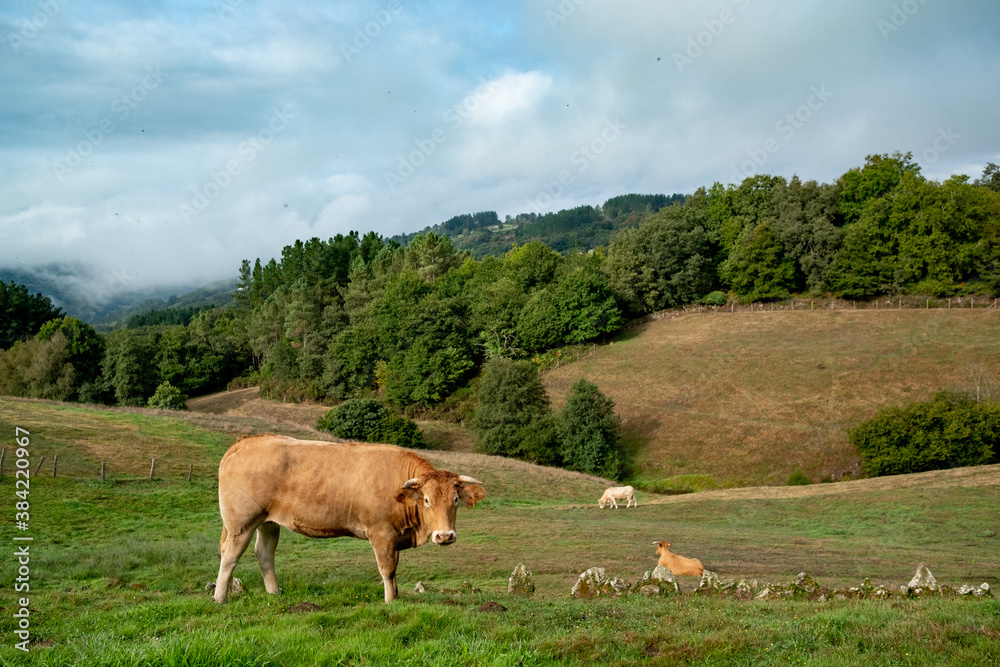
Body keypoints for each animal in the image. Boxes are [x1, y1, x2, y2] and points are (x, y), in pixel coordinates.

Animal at [213, 436, 486, 604]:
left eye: (455, 500)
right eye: (427, 500)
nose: (445, 536)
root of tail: (247, 441)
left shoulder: (395, 534)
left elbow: (395, 569)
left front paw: (396, 597)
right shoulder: (382, 533)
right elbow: (387, 569)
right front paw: (390, 601)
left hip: (268, 522)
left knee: (265, 554)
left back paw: (275, 594)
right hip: (241, 522)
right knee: (230, 555)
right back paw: (219, 598)